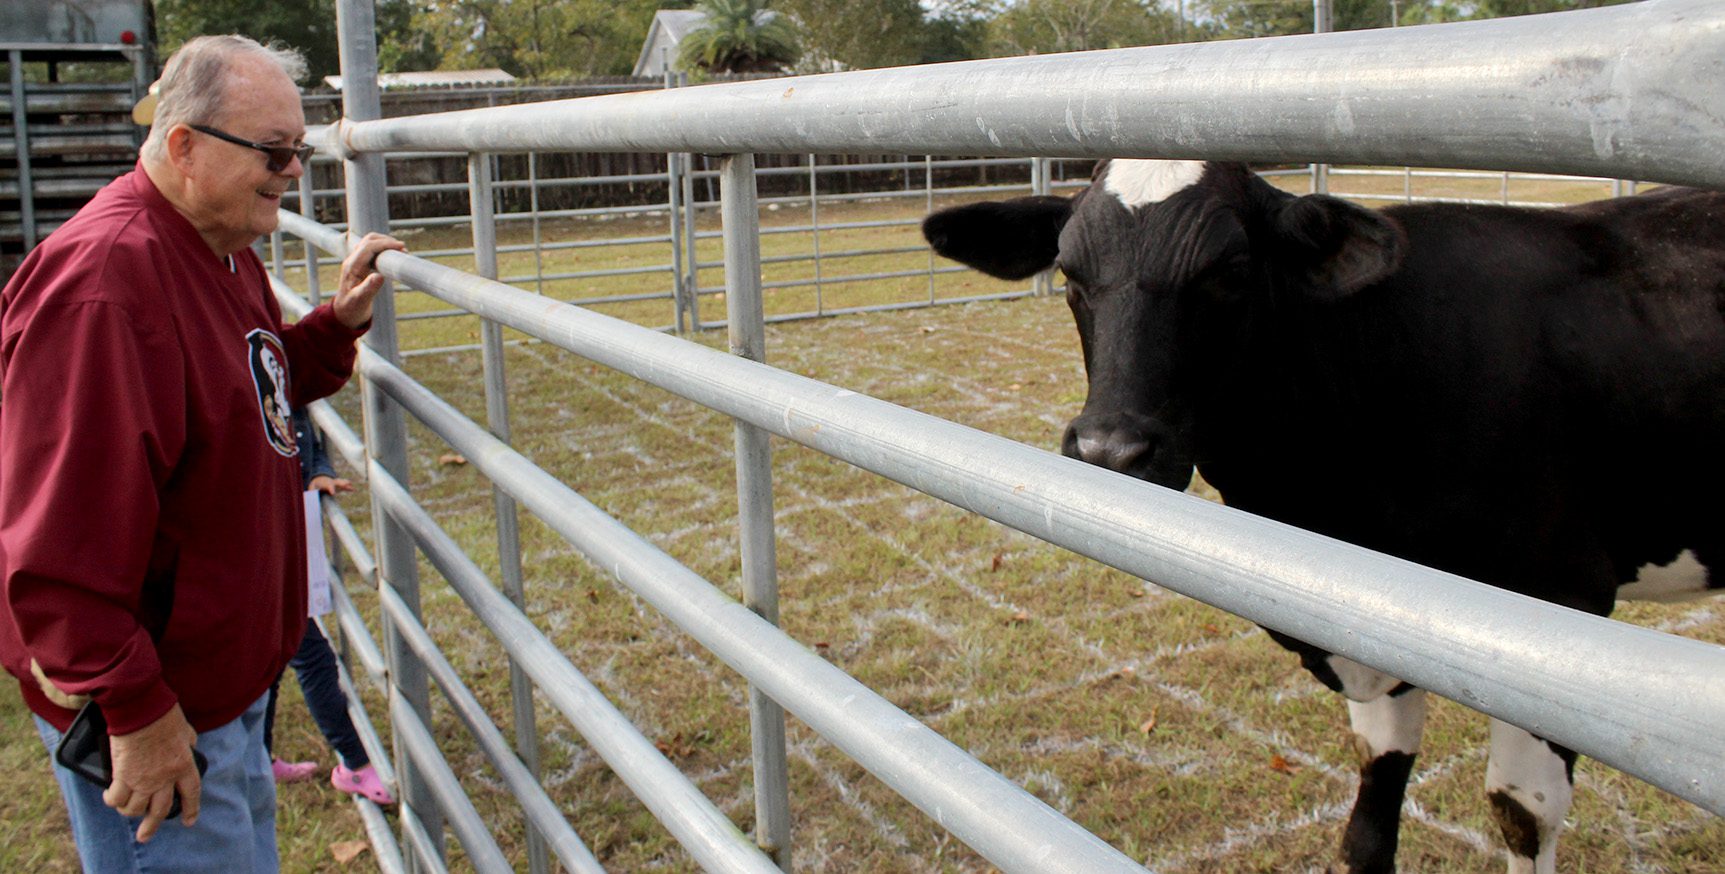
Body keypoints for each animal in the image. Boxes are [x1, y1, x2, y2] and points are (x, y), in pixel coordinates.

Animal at [924, 159, 1725, 874]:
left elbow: (1520, 813)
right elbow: (1369, 817)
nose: (1109, 450)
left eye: (1230, 269)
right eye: (1068, 273)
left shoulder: (1561, 607)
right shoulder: (1371, 623)